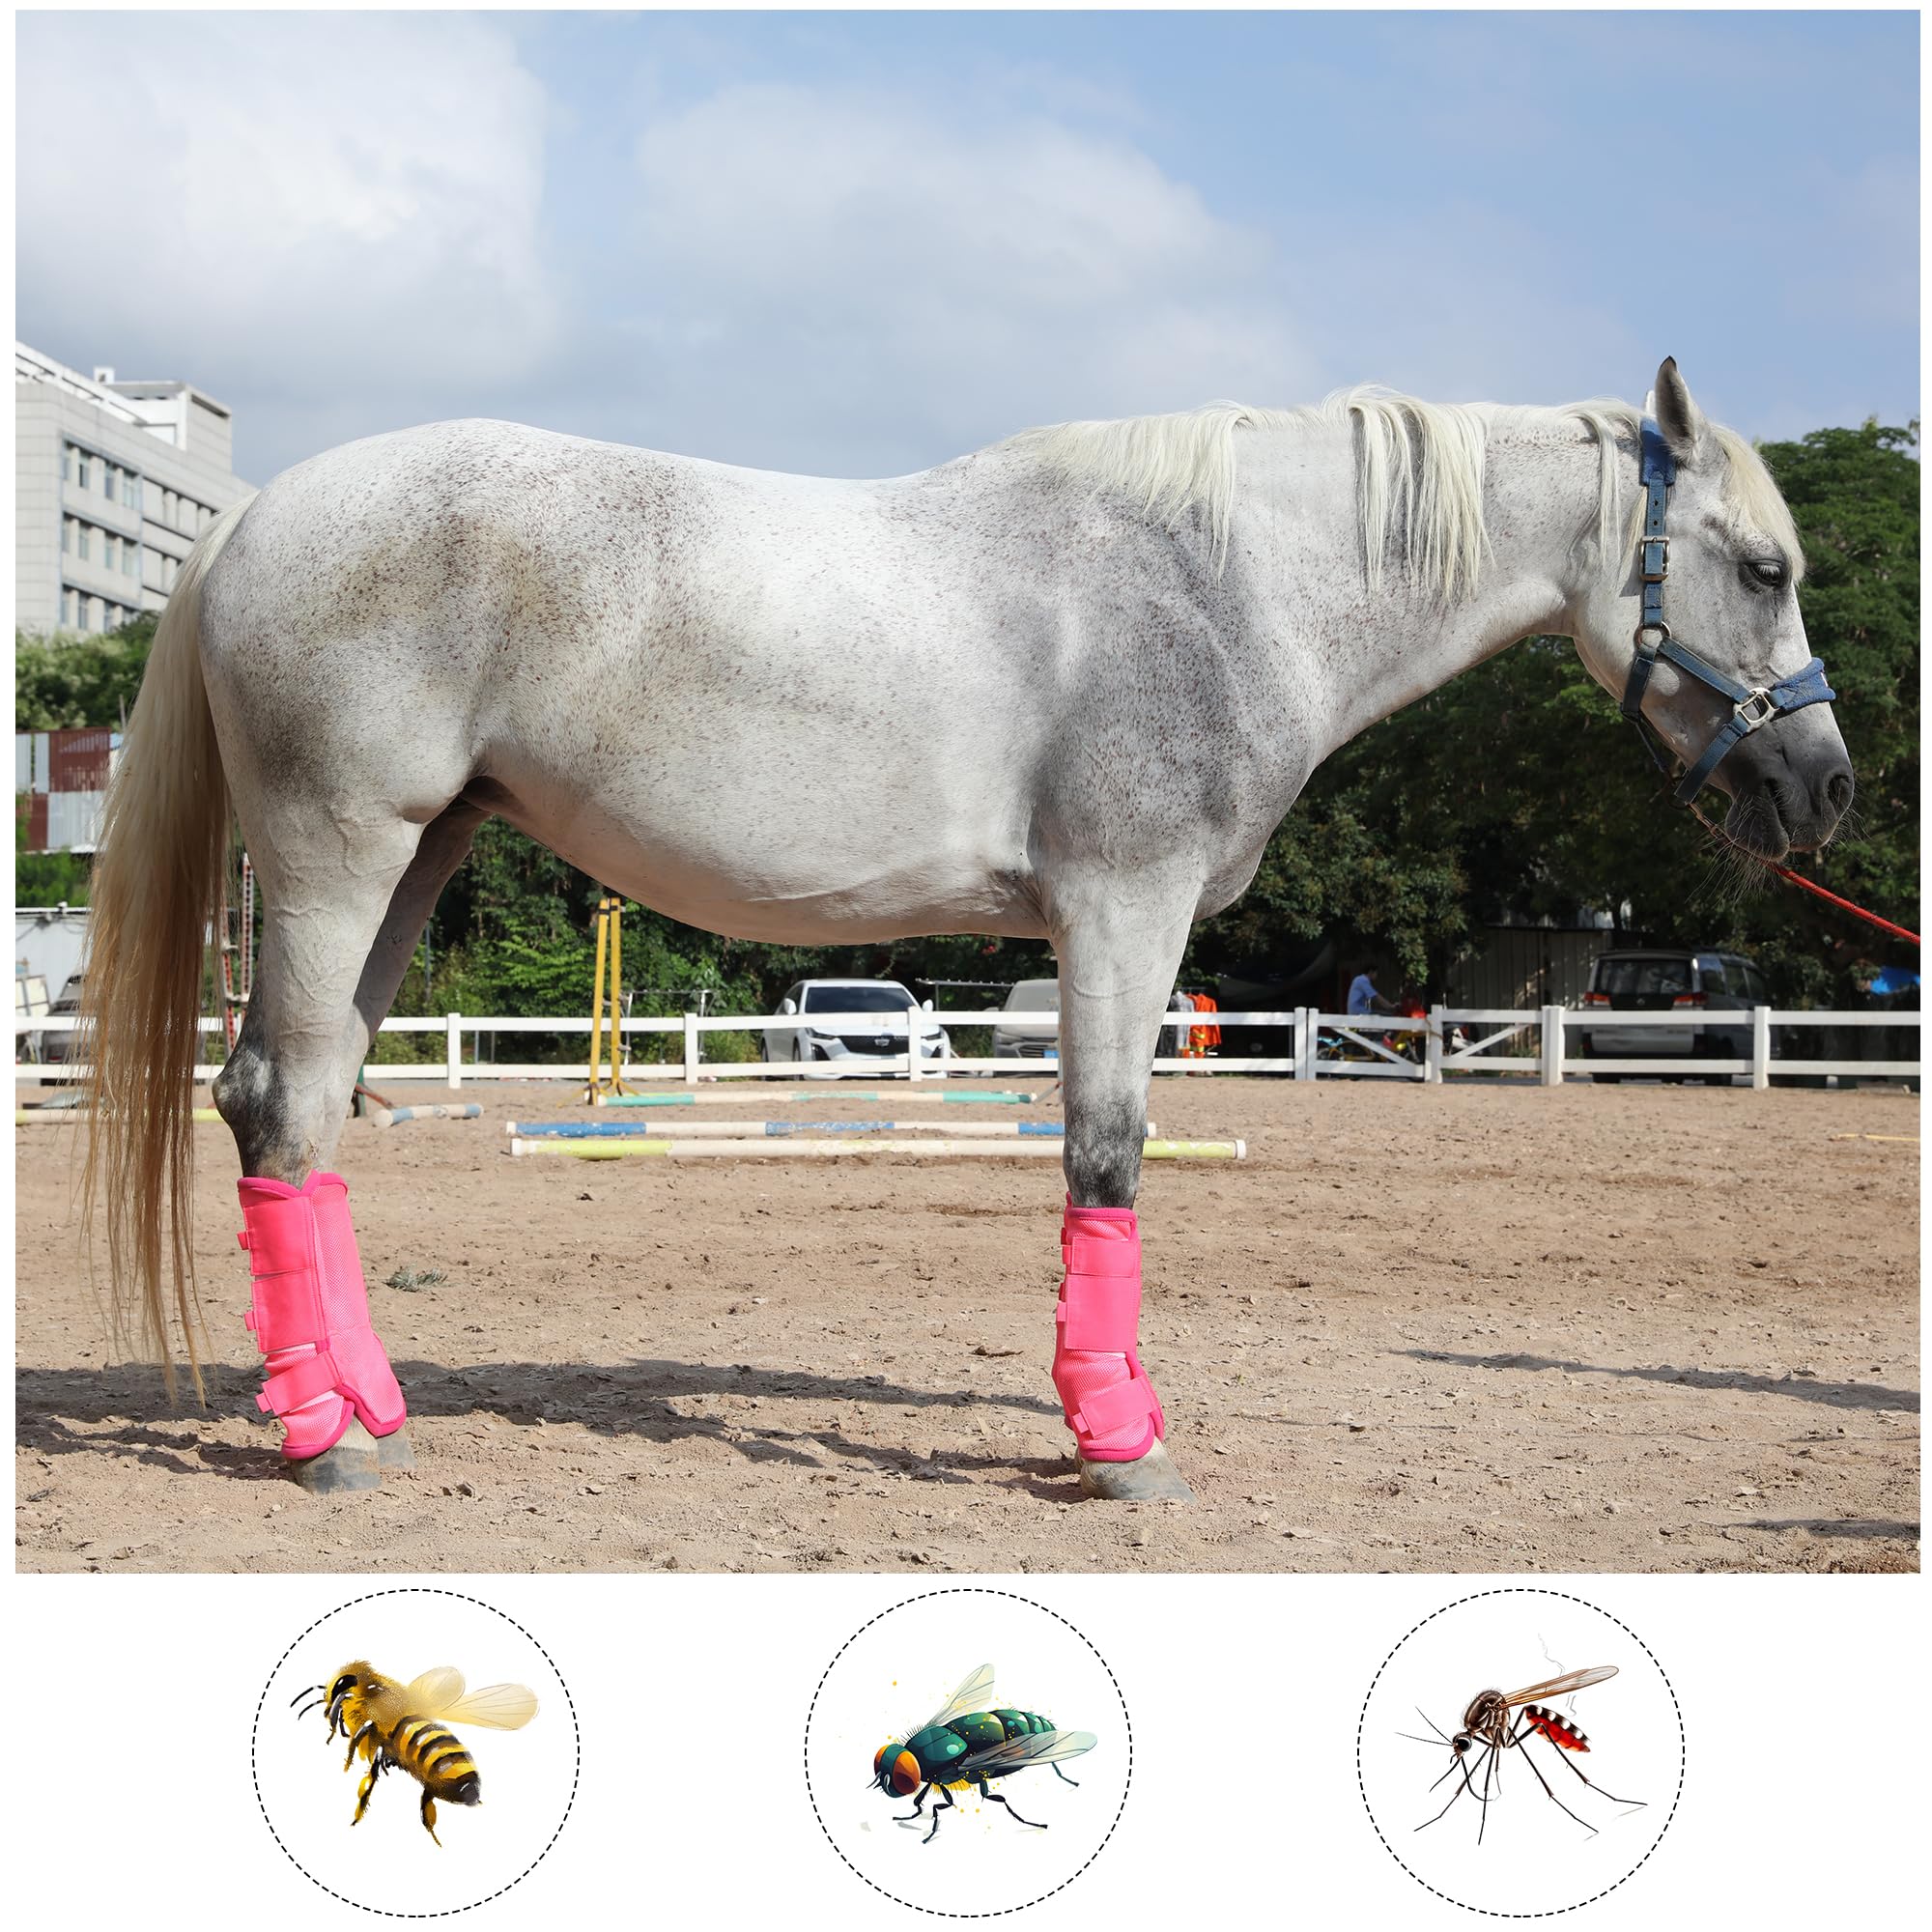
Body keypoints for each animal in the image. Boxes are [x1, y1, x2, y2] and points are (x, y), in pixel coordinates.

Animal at [79, 358, 1852, 1503]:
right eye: (1763, 567)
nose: (1825, 787)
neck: (1222, 585)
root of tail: (251, 518)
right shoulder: (1121, 912)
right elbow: (1106, 1157)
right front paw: (1121, 1447)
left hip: (419, 859)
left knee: (307, 1115)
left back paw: (367, 1407)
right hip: (341, 857)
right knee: (280, 1103)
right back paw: (325, 1448)